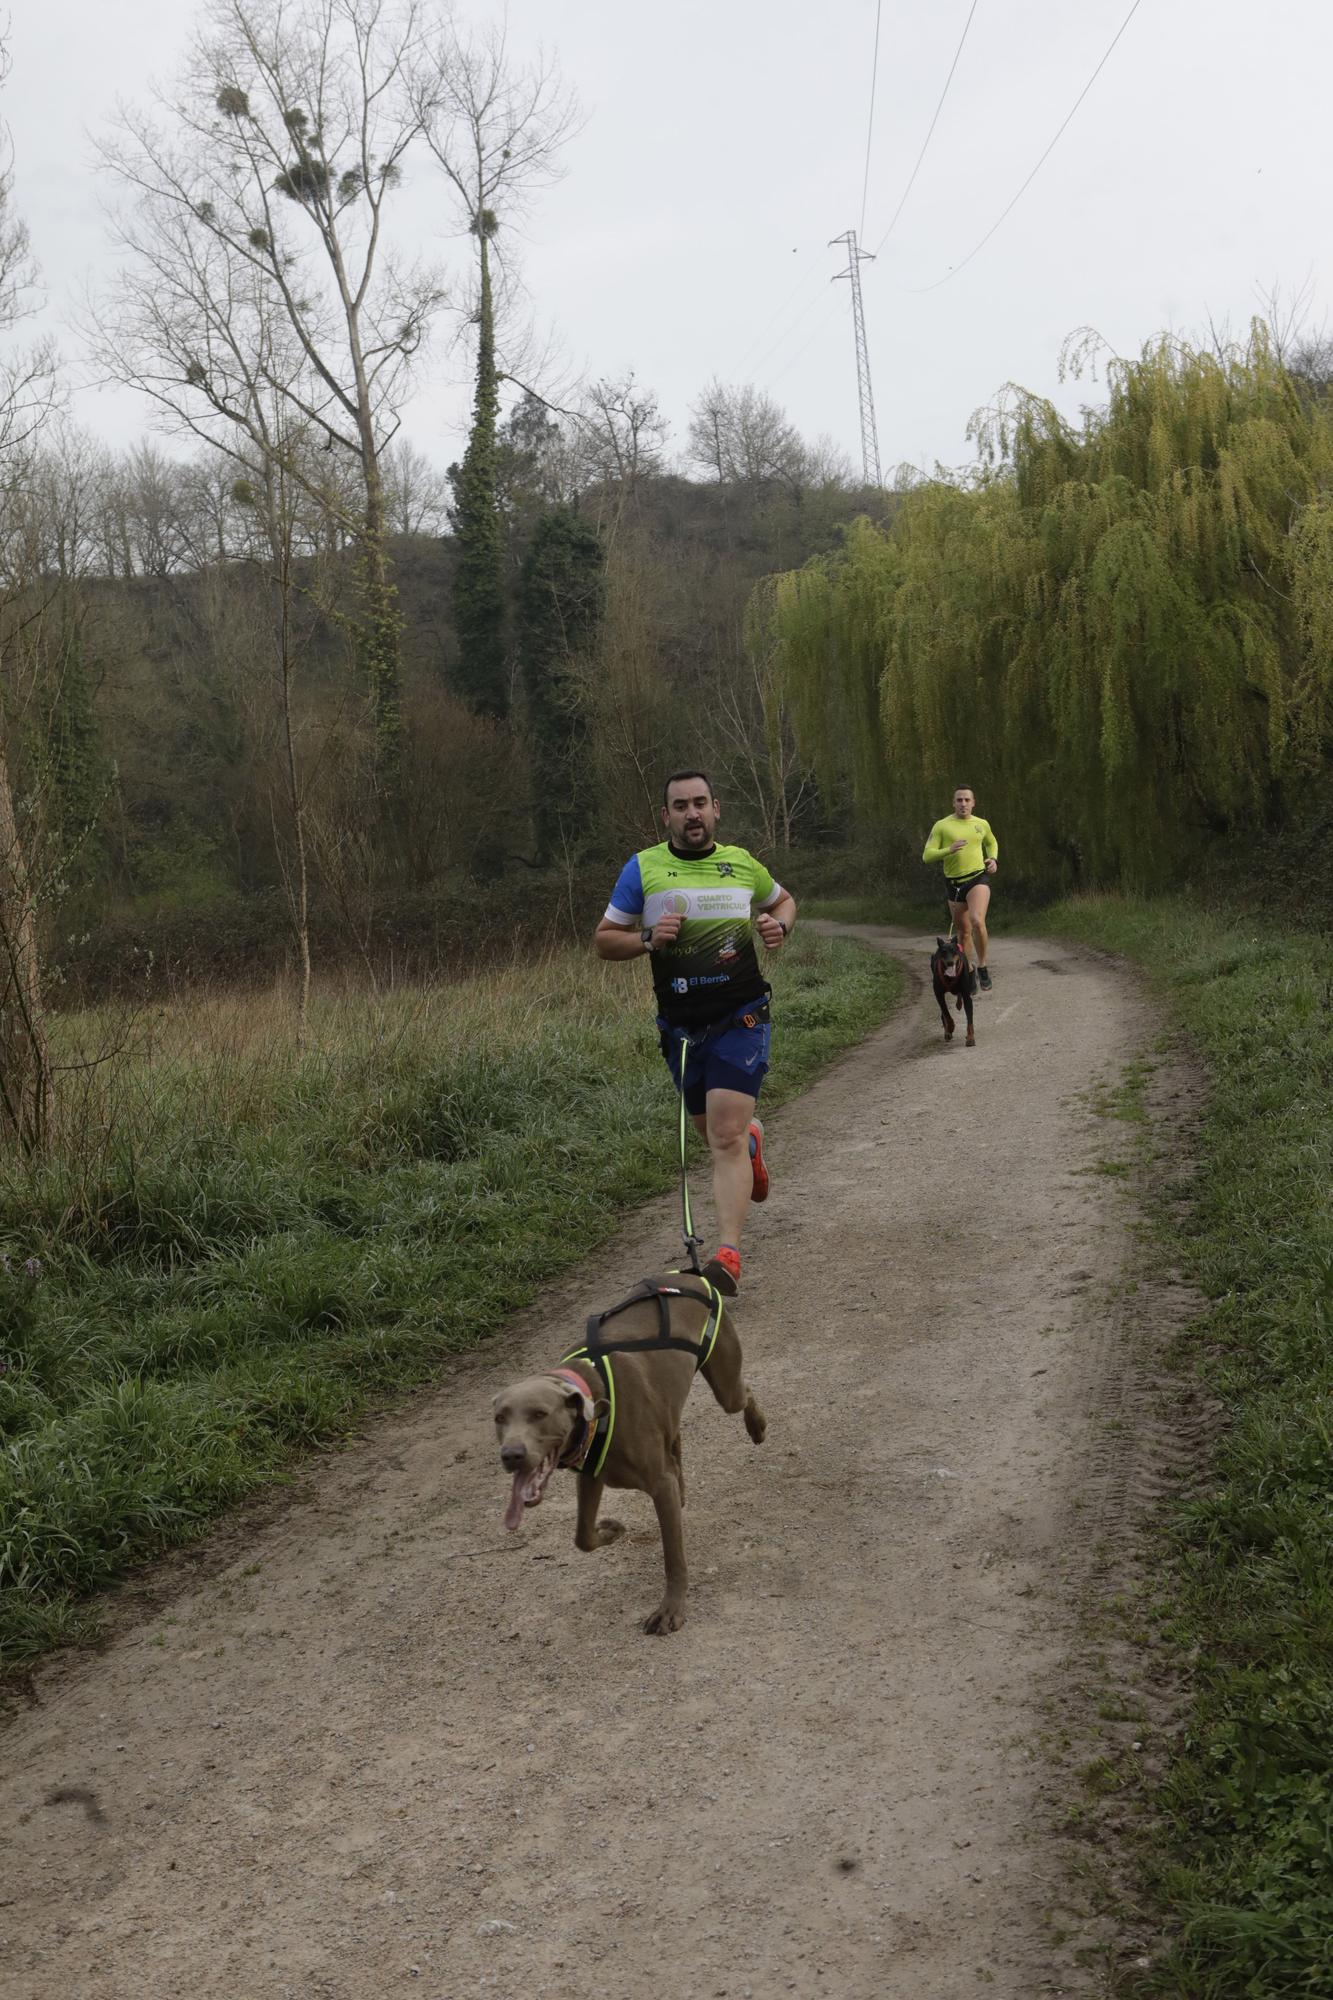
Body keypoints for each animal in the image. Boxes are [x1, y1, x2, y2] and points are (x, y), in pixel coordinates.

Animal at [488, 1272, 764, 1632]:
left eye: (539, 1413)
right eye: (499, 1418)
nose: (511, 1455)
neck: (596, 1397)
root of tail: (689, 1274)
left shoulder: (658, 1484)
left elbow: (673, 1557)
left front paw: (671, 1608)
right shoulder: (591, 1476)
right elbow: (582, 1537)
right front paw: (611, 1530)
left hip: (725, 1384)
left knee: (744, 1392)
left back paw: (757, 1426)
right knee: (675, 1442)